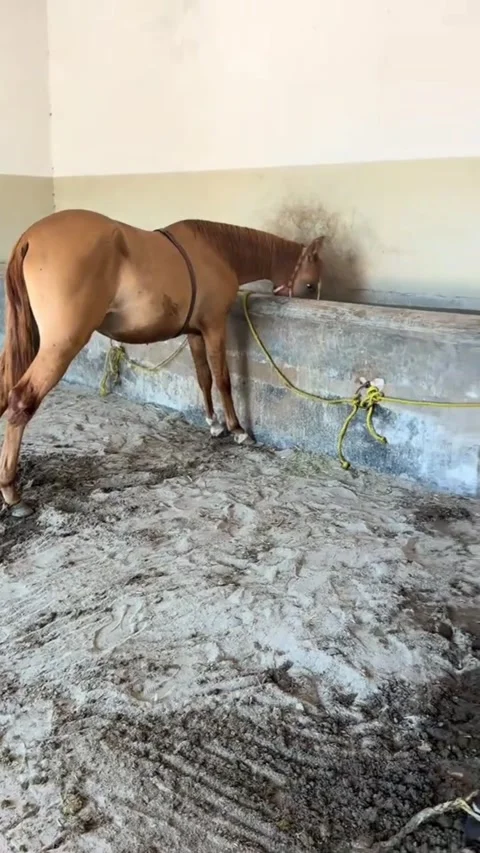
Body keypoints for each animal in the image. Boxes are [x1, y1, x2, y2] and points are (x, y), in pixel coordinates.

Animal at [0, 208, 324, 516]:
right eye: (310, 285)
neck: (216, 250)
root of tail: (30, 237)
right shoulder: (214, 328)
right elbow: (222, 378)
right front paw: (237, 430)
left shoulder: (194, 333)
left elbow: (203, 377)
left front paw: (214, 424)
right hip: (59, 345)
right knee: (21, 400)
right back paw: (13, 495)